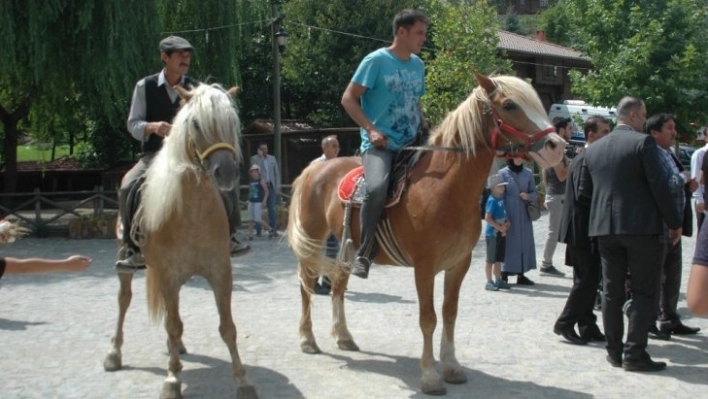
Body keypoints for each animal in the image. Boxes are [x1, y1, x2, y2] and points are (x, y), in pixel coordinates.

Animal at [102, 83, 258, 399]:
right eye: (196, 123)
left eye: (231, 122)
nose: (226, 173)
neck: (193, 211)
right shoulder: (169, 275)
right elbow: (174, 325)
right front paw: (172, 380)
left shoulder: (221, 273)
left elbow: (228, 327)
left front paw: (243, 381)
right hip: (129, 264)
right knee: (124, 300)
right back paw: (114, 354)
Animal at [284, 72, 568, 396]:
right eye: (509, 105)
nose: (557, 146)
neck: (445, 189)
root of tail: (315, 168)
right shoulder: (424, 267)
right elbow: (428, 319)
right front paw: (430, 375)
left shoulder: (458, 264)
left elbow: (449, 313)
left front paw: (452, 366)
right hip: (314, 239)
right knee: (307, 284)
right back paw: (308, 339)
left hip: (347, 247)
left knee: (337, 287)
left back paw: (343, 336)